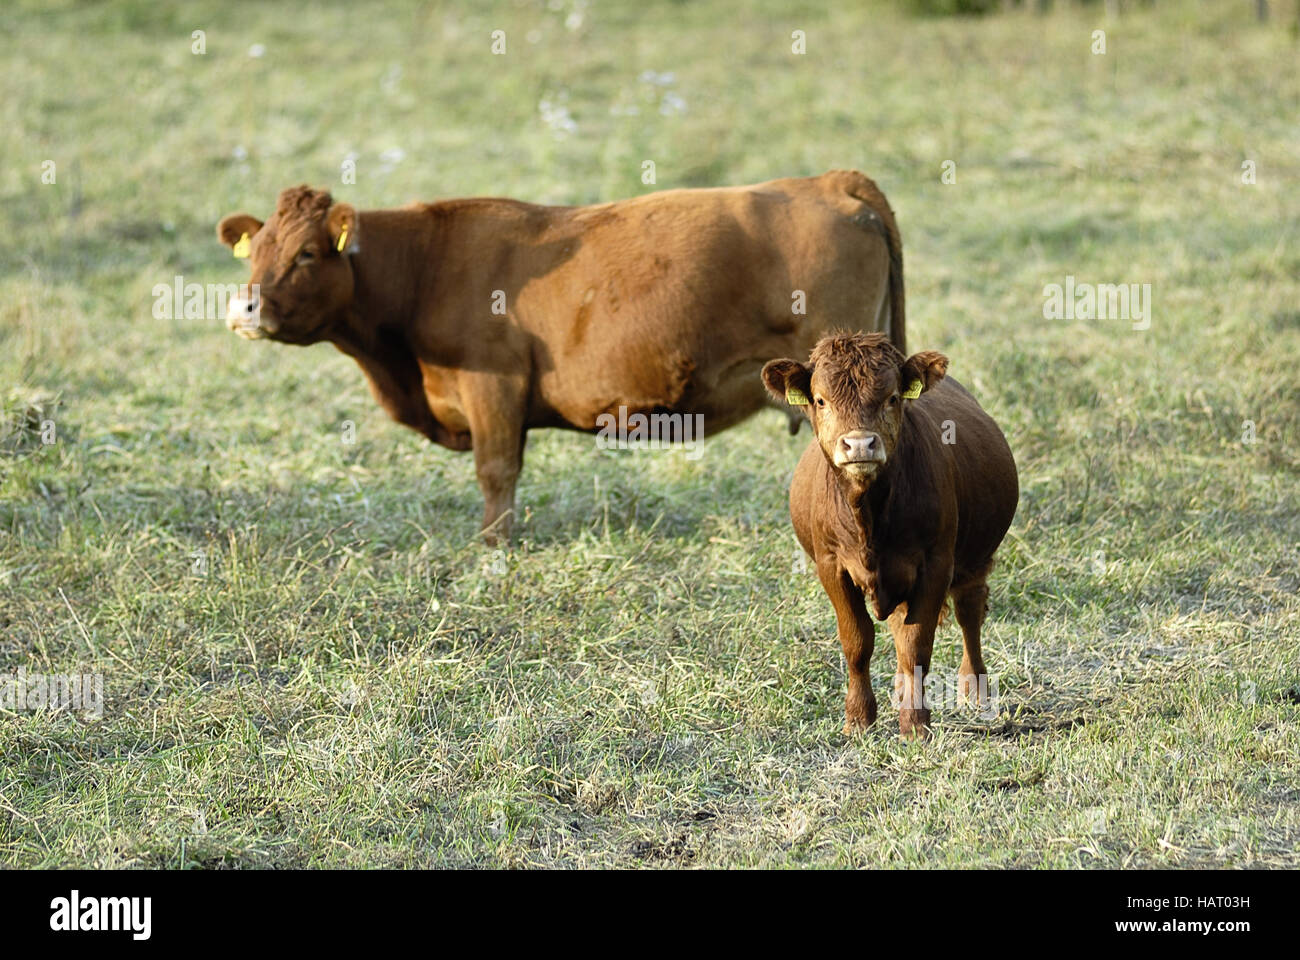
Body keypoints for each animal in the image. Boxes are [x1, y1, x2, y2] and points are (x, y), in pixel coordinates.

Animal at [759, 333, 1013, 738]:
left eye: (892, 397)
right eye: (821, 400)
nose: (860, 444)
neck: (868, 516)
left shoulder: (936, 563)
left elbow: (916, 644)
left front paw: (916, 722)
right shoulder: (831, 565)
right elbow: (858, 640)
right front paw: (859, 718)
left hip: (974, 560)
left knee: (969, 612)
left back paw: (974, 690)